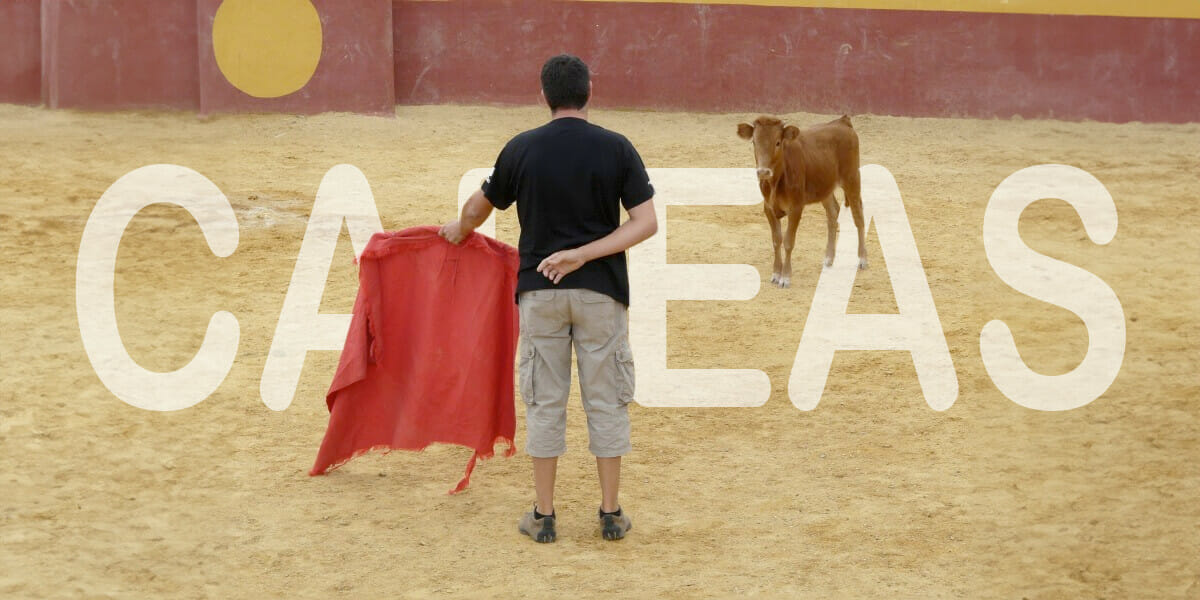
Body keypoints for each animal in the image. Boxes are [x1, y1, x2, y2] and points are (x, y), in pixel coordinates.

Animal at [734, 115, 868, 289]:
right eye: (754, 142)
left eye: (778, 142)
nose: (763, 172)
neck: (776, 182)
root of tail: (842, 121)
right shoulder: (768, 208)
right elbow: (776, 240)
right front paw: (776, 274)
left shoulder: (796, 208)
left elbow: (788, 241)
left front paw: (785, 277)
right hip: (825, 188)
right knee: (833, 213)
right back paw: (829, 258)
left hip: (852, 179)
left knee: (858, 216)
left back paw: (862, 259)